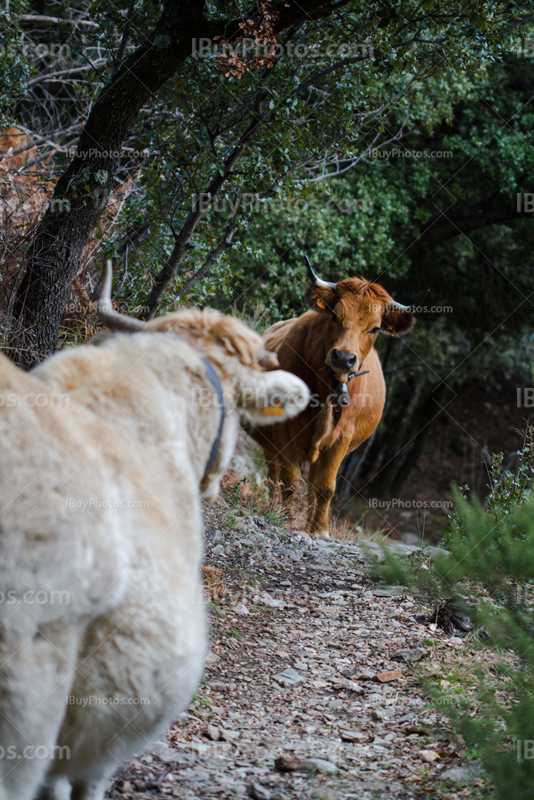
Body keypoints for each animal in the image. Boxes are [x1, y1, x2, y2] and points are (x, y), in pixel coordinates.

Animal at [248, 260, 418, 536]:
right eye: (335, 316)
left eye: (374, 328)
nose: (344, 358)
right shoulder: (284, 428)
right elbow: (290, 480)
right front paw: (285, 518)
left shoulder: (342, 437)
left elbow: (325, 488)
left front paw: (319, 529)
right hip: (269, 440)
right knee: (274, 476)